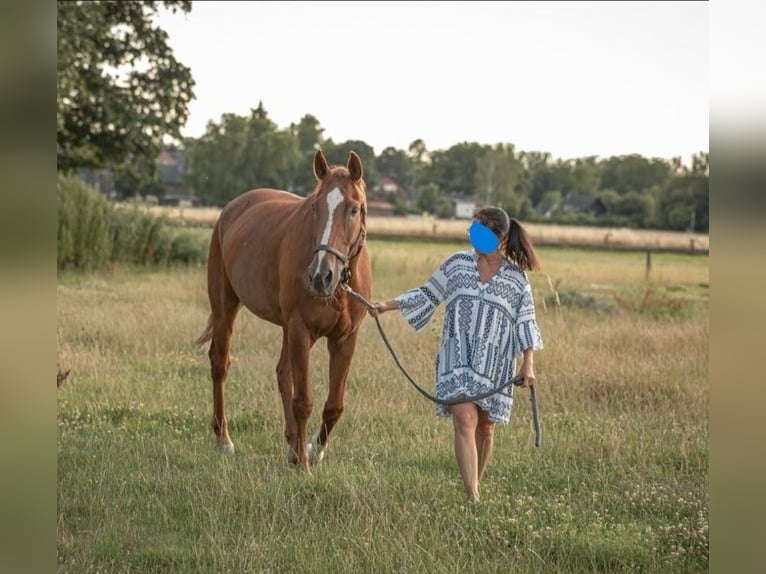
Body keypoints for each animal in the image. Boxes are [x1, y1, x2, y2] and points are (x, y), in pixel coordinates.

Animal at [196, 150, 374, 472]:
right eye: (315, 206)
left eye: (354, 209)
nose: (320, 276)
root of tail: (233, 207)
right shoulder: (301, 330)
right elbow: (303, 401)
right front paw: (304, 465)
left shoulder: (344, 339)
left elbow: (334, 405)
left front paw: (313, 450)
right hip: (225, 307)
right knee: (220, 364)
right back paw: (224, 439)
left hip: (287, 329)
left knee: (282, 373)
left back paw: (292, 446)